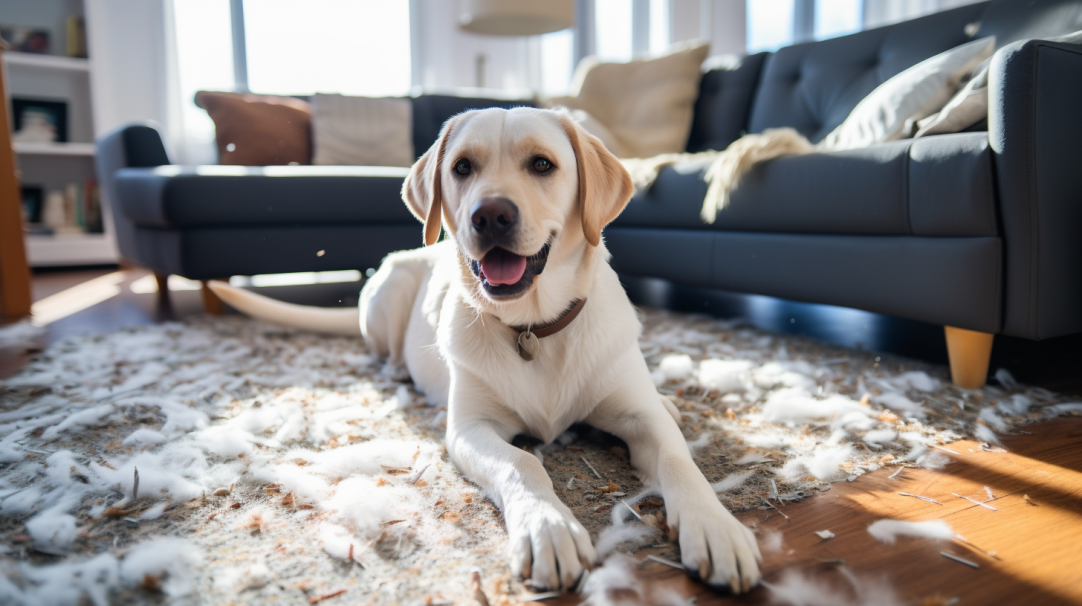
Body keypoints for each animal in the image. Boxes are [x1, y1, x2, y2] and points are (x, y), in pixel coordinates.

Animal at [210, 107, 761, 593]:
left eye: (542, 164)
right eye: (462, 167)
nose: (490, 214)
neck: (535, 328)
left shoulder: (641, 419)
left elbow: (679, 462)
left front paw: (716, 527)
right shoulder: (471, 429)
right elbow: (523, 464)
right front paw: (548, 528)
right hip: (388, 286)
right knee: (384, 352)